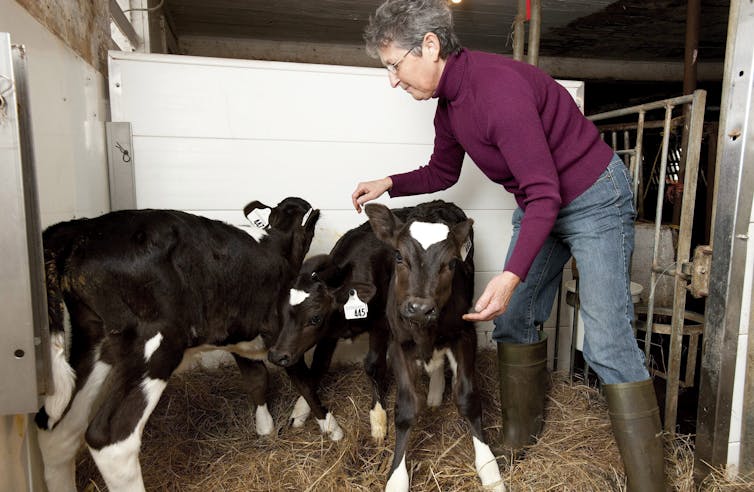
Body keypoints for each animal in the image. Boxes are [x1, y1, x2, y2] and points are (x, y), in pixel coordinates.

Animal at [36, 197, 318, 492]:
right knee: (111, 438)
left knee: (58, 430)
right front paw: (308, 419)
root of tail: (81, 228)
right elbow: (305, 377)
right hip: (156, 342)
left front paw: (266, 429)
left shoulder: (241, 334)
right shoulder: (283, 335)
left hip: (94, 338)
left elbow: (258, 378)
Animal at [366, 201, 506, 492]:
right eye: (399, 256)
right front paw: (397, 478)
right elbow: (406, 408)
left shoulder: (465, 334)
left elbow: (467, 398)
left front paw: (489, 469)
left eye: (451, 262)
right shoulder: (398, 344)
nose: (420, 308)